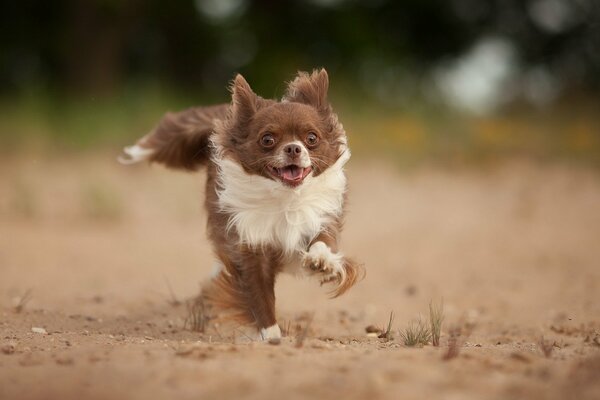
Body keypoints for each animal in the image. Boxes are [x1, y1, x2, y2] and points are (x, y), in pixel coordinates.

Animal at [118, 69, 360, 340]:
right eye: (268, 139)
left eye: (311, 138)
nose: (293, 148)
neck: (284, 198)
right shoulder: (249, 248)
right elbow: (259, 298)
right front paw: (272, 338)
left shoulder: (320, 219)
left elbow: (323, 242)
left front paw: (321, 262)